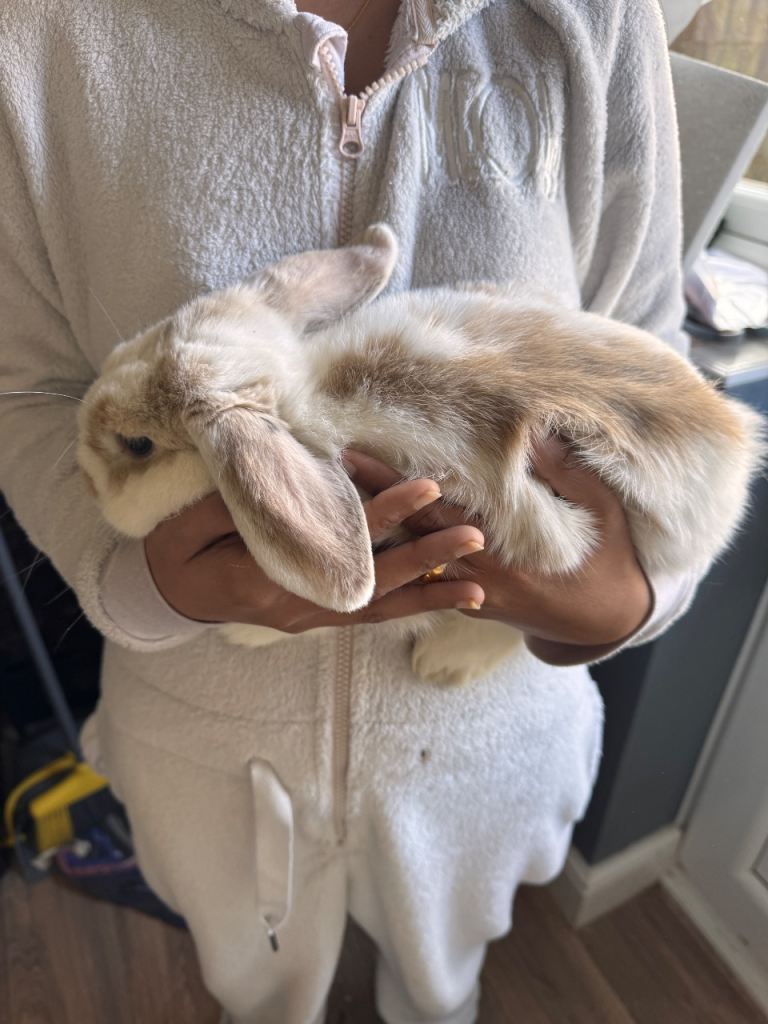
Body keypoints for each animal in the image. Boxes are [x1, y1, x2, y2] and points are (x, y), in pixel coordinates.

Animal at [77, 224, 765, 685]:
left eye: (137, 445)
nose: (81, 452)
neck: (305, 391)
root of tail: (734, 442)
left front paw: (242, 634)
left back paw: (443, 664)